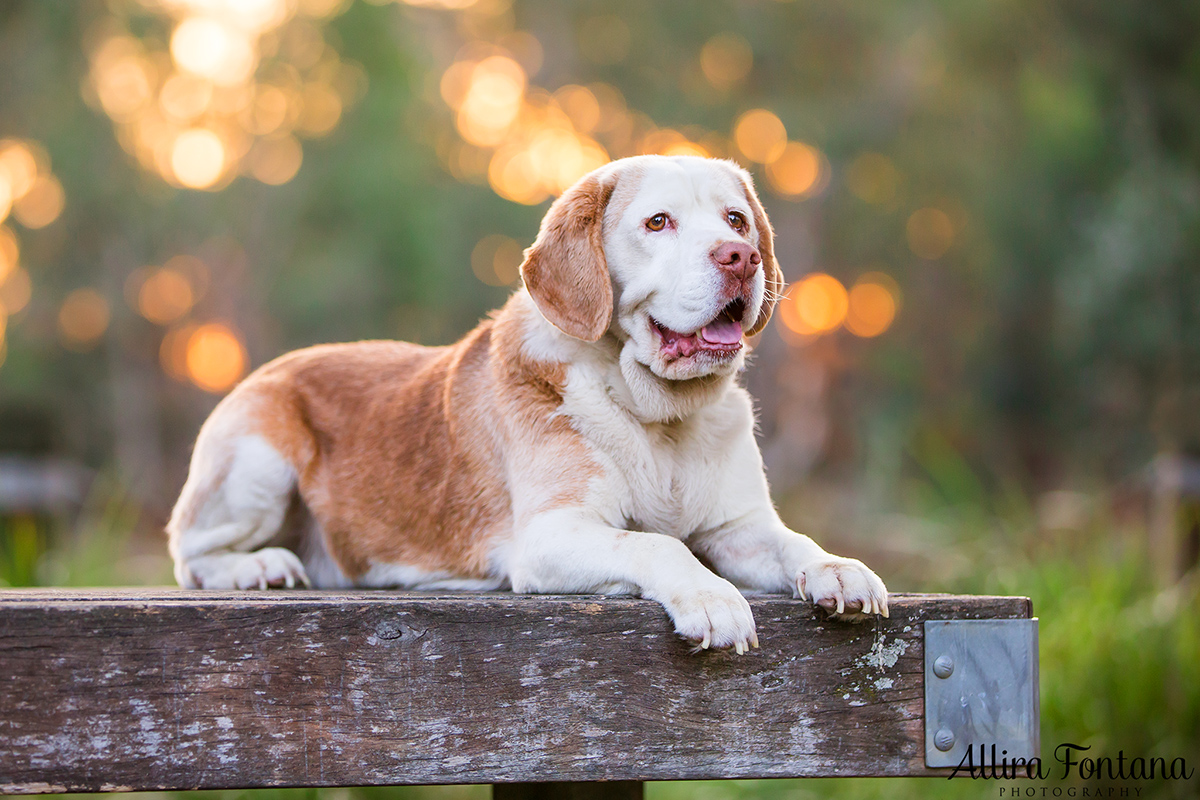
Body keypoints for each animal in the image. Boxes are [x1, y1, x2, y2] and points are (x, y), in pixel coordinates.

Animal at [164, 154, 888, 652]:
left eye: (736, 220)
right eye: (659, 222)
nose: (739, 256)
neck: (657, 420)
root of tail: (268, 368)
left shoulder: (739, 529)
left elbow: (793, 543)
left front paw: (839, 570)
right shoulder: (552, 535)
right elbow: (658, 546)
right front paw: (711, 596)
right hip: (257, 461)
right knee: (190, 553)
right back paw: (259, 567)